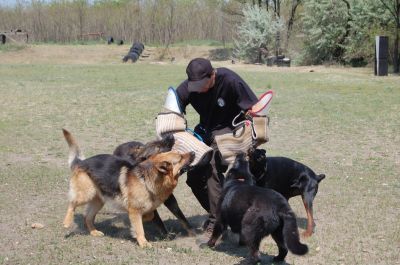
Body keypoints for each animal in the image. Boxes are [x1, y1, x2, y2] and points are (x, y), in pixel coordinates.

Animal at [61, 129, 195, 246]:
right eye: (180, 158)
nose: (193, 152)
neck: (146, 178)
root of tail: (81, 162)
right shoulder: (134, 210)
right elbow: (140, 228)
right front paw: (143, 243)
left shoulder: (146, 208)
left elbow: (149, 216)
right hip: (86, 193)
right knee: (72, 203)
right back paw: (67, 222)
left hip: (99, 200)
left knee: (87, 217)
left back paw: (94, 232)